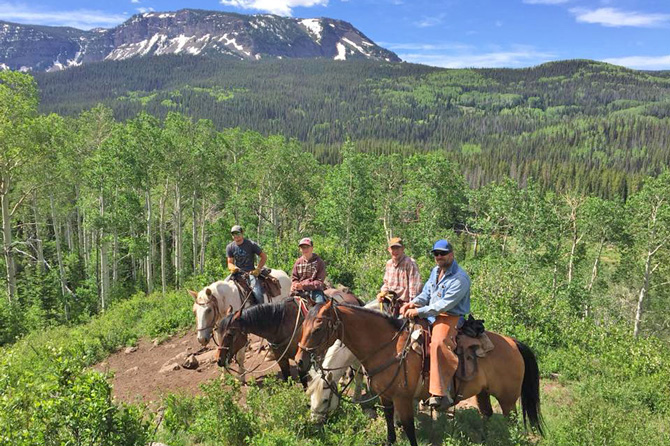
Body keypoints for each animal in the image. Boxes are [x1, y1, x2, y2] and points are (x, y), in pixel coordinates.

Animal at [300, 300, 544, 446]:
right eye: (303, 326)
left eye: (318, 328)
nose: (301, 359)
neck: (388, 347)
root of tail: (513, 343)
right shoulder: (386, 396)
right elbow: (389, 422)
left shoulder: (404, 398)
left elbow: (408, 427)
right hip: (483, 393)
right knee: (487, 415)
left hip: (508, 398)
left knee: (510, 422)